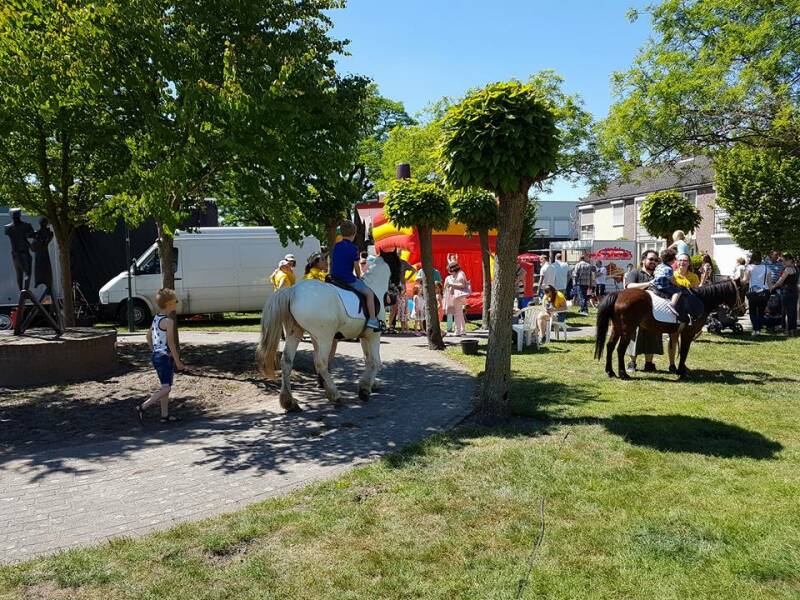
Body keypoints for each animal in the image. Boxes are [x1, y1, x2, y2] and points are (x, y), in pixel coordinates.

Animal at [256, 250, 402, 411]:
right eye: (399, 263)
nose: (399, 289)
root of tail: (293, 291)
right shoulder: (374, 336)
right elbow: (376, 361)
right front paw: (364, 389)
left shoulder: (365, 337)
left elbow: (368, 359)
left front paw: (371, 384)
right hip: (324, 337)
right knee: (320, 363)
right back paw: (334, 395)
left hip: (295, 333)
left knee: (287, 362)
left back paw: (289, 402)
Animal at [594, 279, 746, 379]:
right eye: (742, 291)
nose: (743, 310)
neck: (702, 300)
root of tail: (618, 294)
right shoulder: (688, 333)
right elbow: (684, 352)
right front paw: (681, 372)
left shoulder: (678, 333)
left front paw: (679, 370)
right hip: (628, 329)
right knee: (620, 349)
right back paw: (623, 373)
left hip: (617, 328)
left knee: (610, 346)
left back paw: (610, 372)